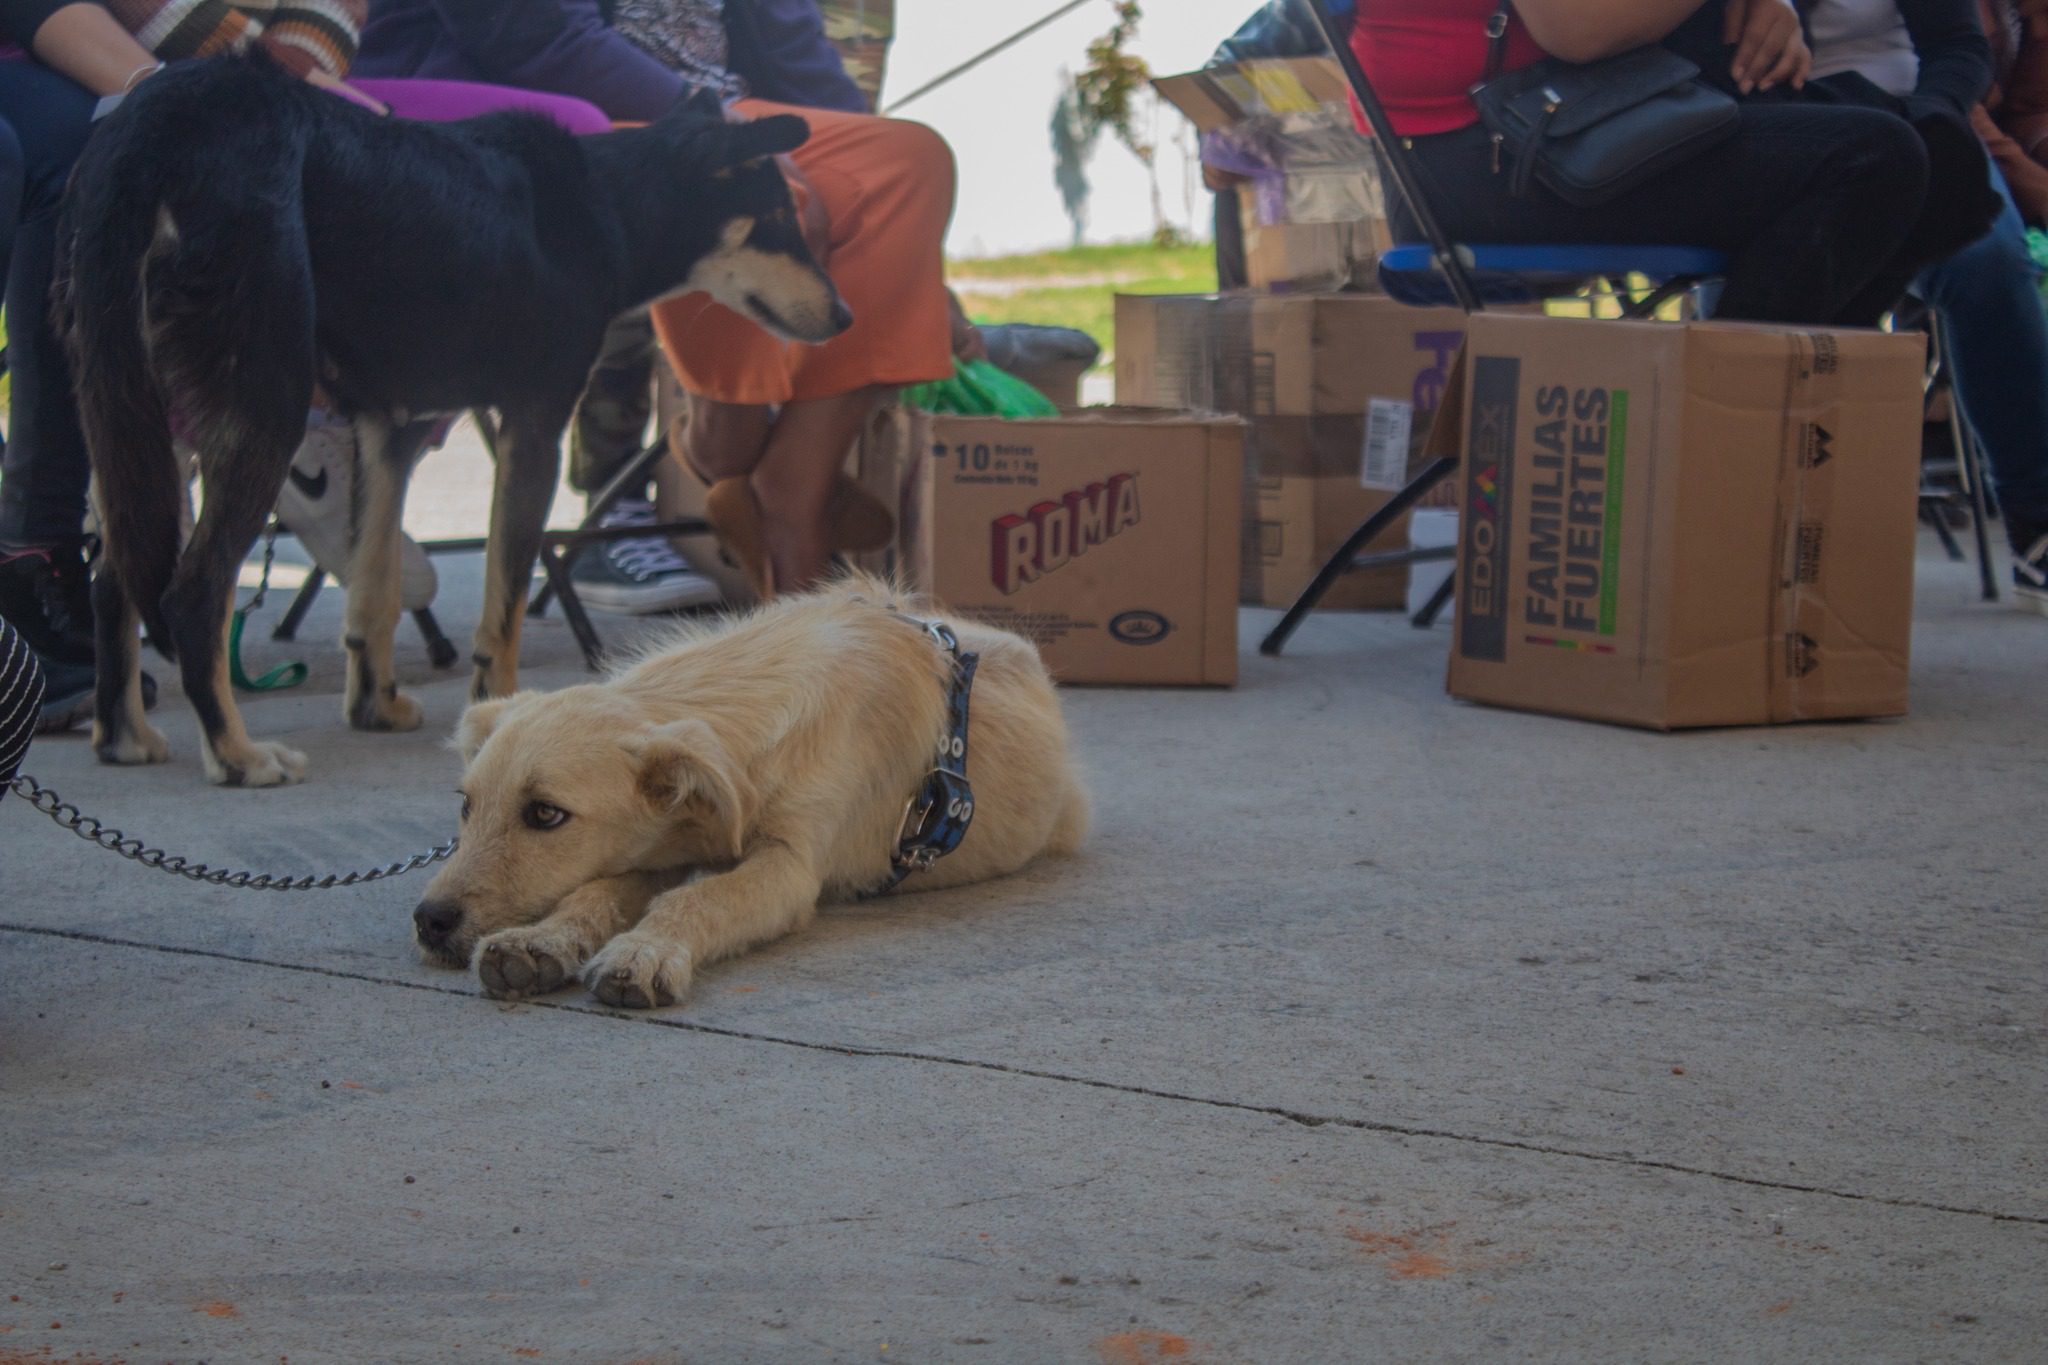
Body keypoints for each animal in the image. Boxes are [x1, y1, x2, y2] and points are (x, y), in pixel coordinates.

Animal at [61, 56, 847, 789]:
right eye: (781, 223)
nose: (844, 317)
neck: (606, 202)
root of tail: (159, 119)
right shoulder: (534, 425)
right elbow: (504, 603)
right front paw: (499, 713)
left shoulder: (391, 433)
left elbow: (374, 588)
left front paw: (375, 704)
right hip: (261, 404)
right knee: (192, 593)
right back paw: (235, 754)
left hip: (142, 417)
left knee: (113, 579)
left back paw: (122, 734)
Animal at [411, 573, 1089, 1010]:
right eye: (466, 806)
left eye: (546, 814)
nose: (429, 922)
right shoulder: (659, 845)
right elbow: (597, 890)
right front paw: (542, 940)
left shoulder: (790, 867)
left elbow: (702, 899)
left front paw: (648, 951)